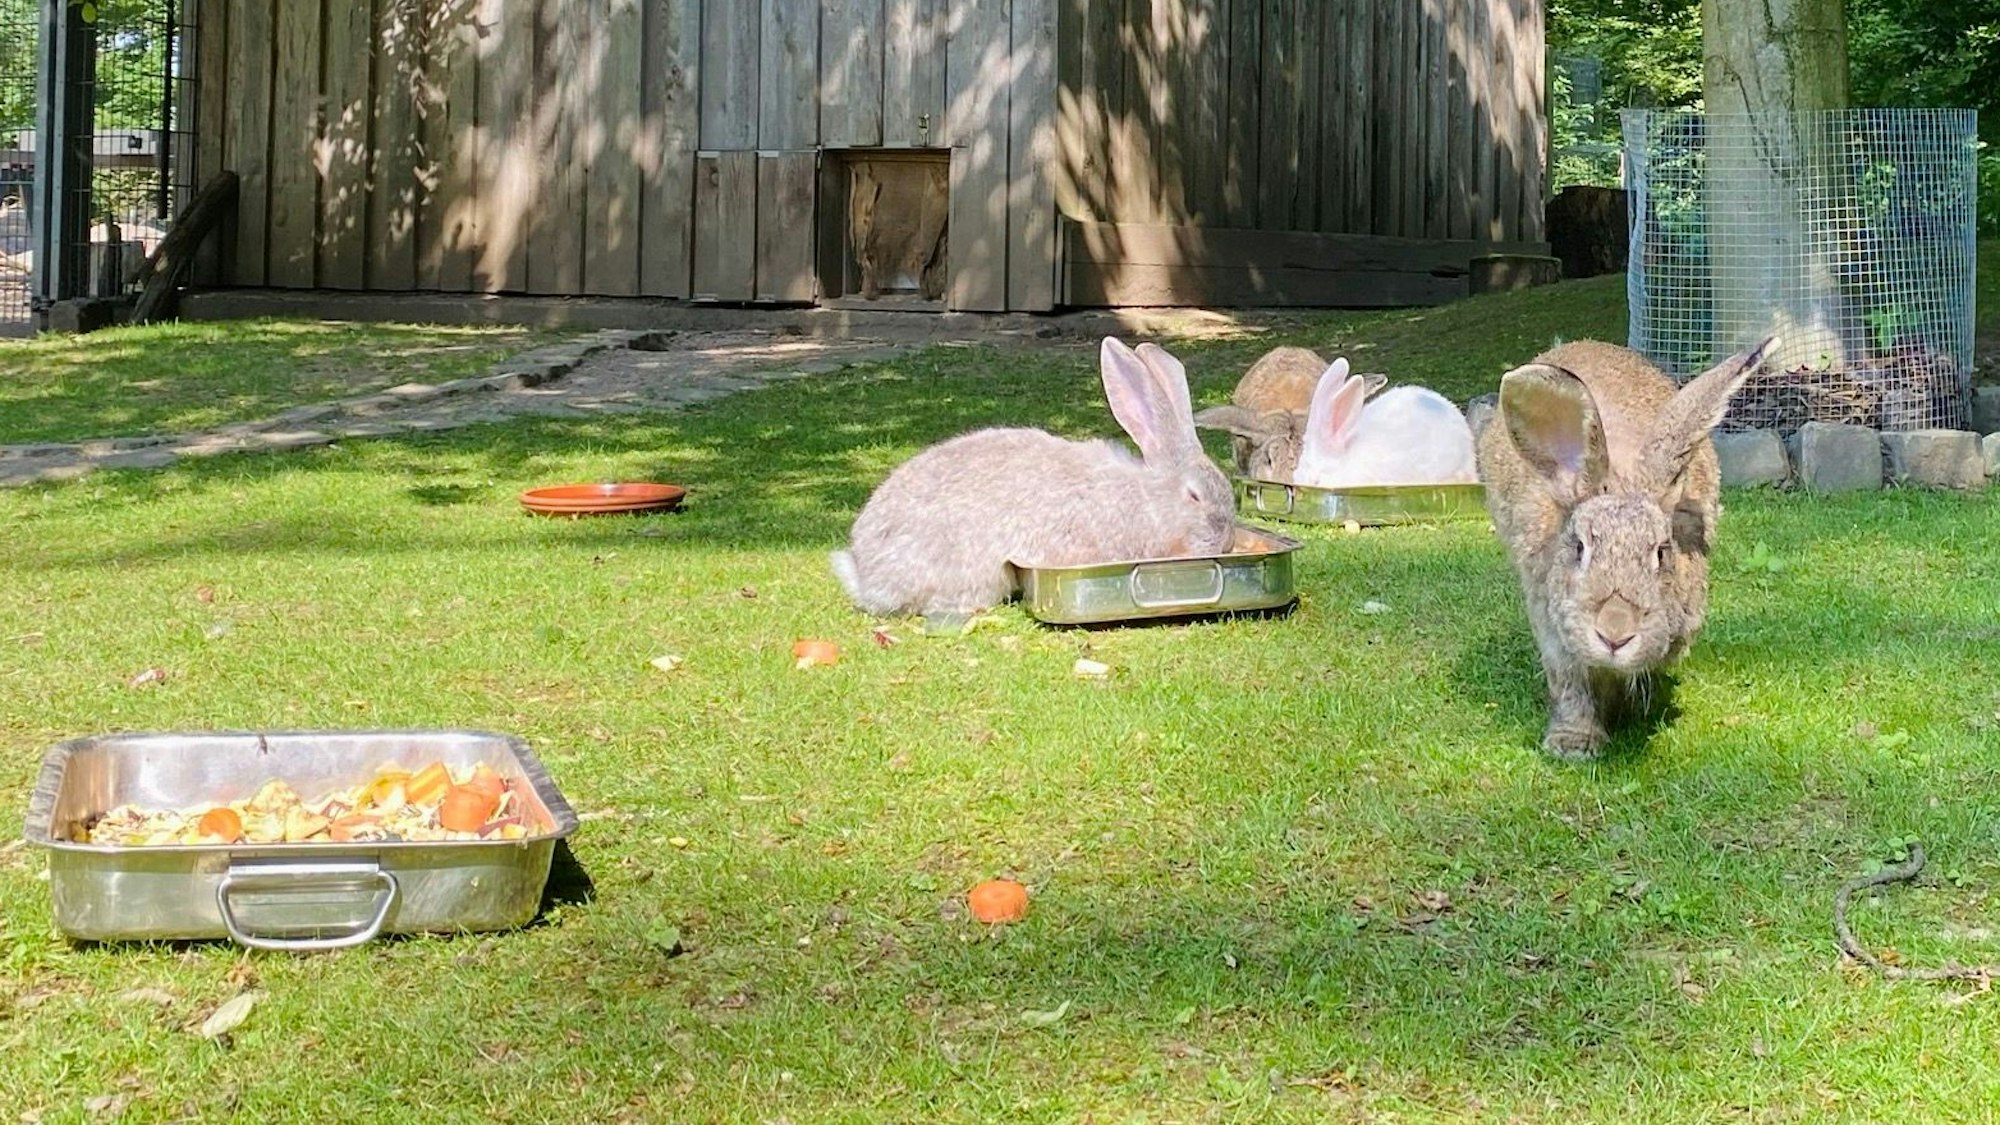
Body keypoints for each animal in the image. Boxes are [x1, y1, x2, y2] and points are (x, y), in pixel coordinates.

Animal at [1476, 337, 1776, 759]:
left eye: (1662, 552)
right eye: (1579, 548)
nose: (1615, 633)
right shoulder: (1552, 626)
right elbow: (1571, 682)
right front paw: (1575, 743)